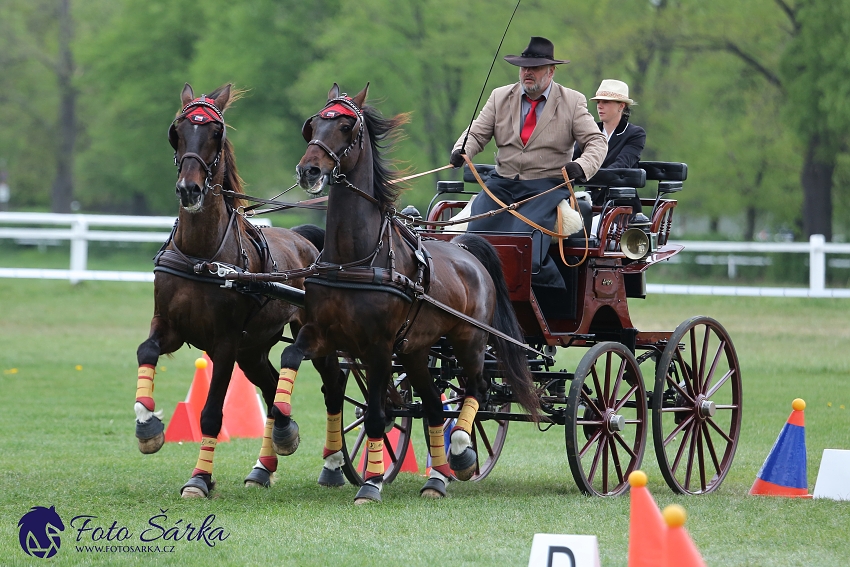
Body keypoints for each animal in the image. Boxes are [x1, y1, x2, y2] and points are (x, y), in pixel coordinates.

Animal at [134, 83, 322, 496]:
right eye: (177, 131)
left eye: (215, 133)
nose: (189, 189)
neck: (201, 256)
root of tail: (306, 241)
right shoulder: (170, 325)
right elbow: (146, 350)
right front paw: (147, 425)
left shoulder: (224, 343)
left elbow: (211, 413)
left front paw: (199, 478)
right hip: (253, 350)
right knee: (272, 389)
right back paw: (268, 459)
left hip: (303, 338)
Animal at [268, 83, 540, 502]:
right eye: (312, 125)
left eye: (346, 126)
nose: (309, 170)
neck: (356, 260)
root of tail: (466, 248)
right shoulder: (322, 333)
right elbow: (290, 357)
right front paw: (284, 431)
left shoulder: (378, 348)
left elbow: (377, 415)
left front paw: (371, 483)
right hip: (416, 350)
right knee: (433, 406)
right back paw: (436, 478)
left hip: (469, 340)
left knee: (477, 389)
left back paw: (461, 452)